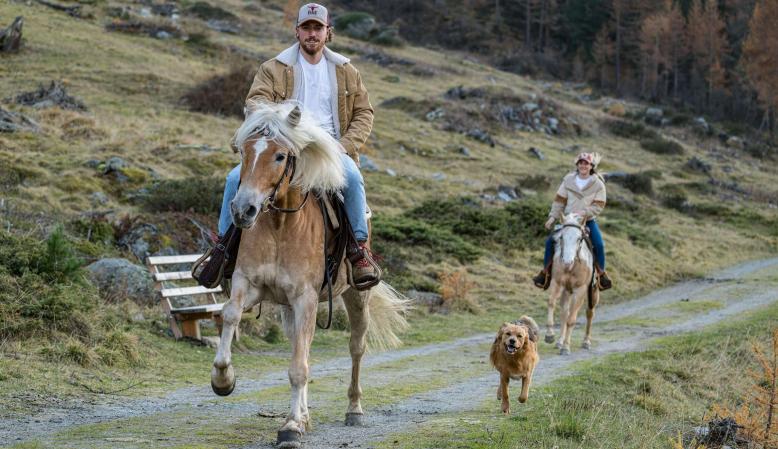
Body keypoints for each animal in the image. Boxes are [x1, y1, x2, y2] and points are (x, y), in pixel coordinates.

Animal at [210, 101, 409, 448]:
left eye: (279, 155)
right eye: (244, 152)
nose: (243, 210)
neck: (280, 226)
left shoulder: (306, 298)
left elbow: (299, 369)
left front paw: (290, 426)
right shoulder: (249, 284)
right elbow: (231, 314)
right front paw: (223, 379)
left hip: (356, 296)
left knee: (355, 347)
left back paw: (353, 409)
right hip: (289, 307)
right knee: (300, 347)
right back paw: (305, 416)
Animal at [543, 213, 599, 355]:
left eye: (579, 239)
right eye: (561, 237)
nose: (567, 262)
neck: (572, 267)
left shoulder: (580, 290)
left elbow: (571, 320)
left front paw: (566, 347)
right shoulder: (557, 283)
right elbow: (551, 303)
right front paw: (550, 335)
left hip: (593, 293)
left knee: (590, 313)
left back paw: (586, 342)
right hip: (566, 291)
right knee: (564, 313)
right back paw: (559, 341)